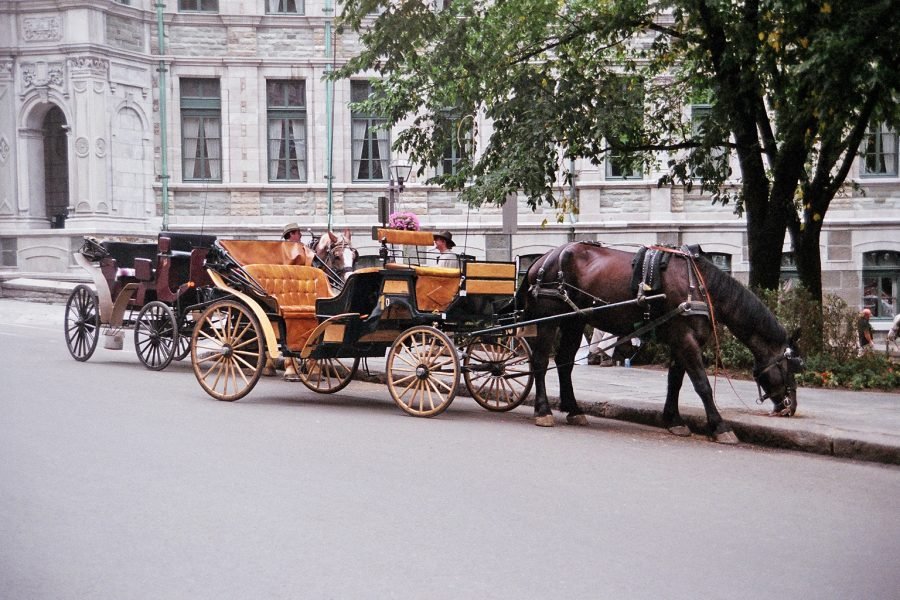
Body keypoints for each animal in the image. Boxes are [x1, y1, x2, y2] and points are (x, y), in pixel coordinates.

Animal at [516, 241, 804, 442]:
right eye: (790, 366)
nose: (790, 407)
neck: (699, 286)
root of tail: (543, 258)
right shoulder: (685, 339)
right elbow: (701, 385)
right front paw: (719, 426)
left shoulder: (681, 341)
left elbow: (675, 381)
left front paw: (673, 419)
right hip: (549, 318)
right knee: (541, 361)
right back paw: (543, 410)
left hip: (574, 321)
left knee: (564, 361)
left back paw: (574, 409)